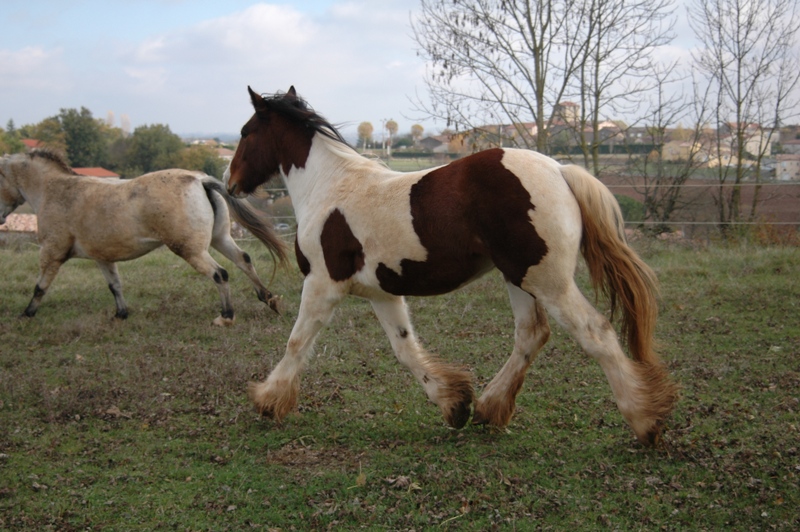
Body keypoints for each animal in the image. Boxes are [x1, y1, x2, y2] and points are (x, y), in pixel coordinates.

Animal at [0, 150, 288, 324]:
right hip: (219, 239)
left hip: (191, 250)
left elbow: (40, 286)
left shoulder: (51, 253)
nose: (1, 217)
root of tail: (199, 180)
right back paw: (268, 298)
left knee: (220, 274)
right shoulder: (102, 258)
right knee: (244, 260)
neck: (54, 191)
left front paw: (27, 314)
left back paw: (226, 315)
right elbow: (115, 285)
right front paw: (121, 314)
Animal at [227, 86, 680, 444]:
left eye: (246, 132)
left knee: (595, 333)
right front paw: (454, 405)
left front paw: (267, 401)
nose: (230, 183)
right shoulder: (382, 293)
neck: (331, 187)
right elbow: (405, 349)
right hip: (518, 277)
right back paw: (489, 410)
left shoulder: (322, 284)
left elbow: (297, 341)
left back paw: (645, 422)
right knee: (531, 335)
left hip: (547, 280)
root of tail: (560, 168)